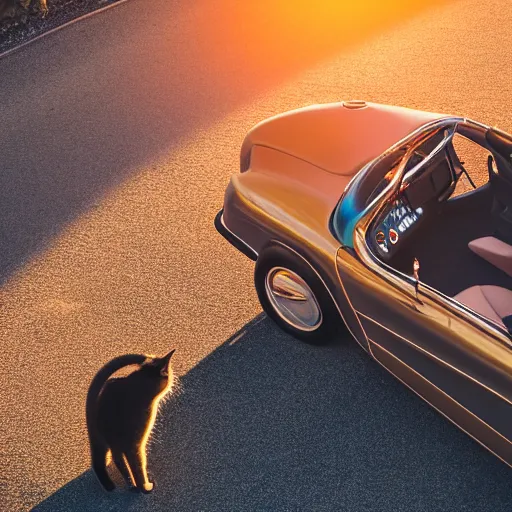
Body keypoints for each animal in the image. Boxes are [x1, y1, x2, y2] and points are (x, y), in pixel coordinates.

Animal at [86, 348, 176, 492]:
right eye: (170, 374)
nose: (173, 380)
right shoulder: (135, 444)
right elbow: (139, 467)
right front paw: (145, 487)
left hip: (108, 441)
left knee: (112, 460)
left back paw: (122, 485)